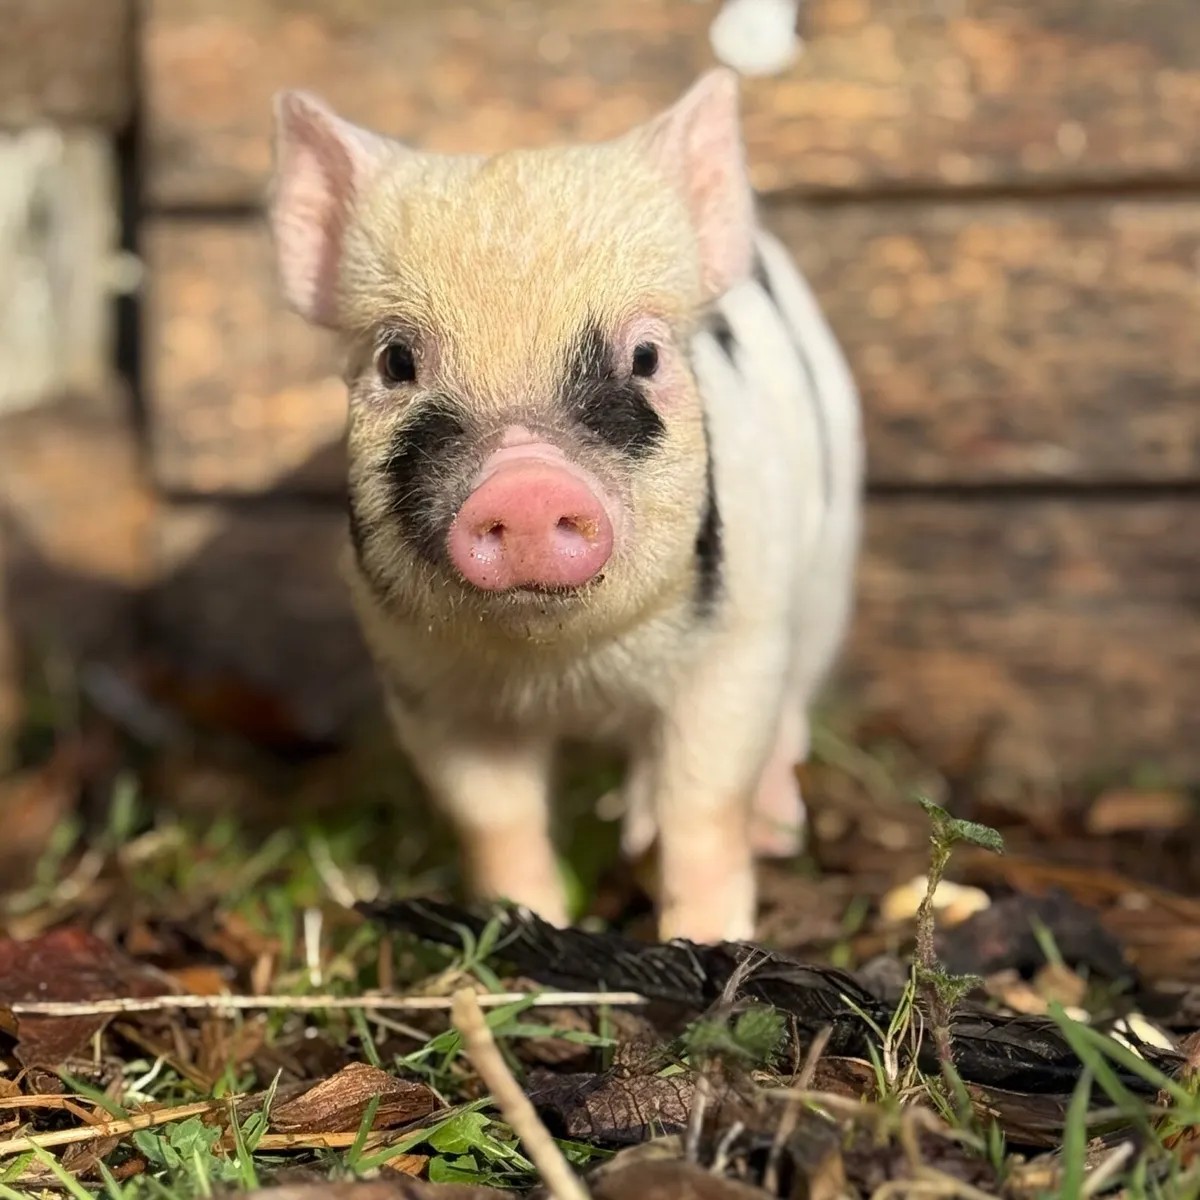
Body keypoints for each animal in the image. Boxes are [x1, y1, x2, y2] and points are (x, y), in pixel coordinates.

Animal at [266, 68, 863, 944]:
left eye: (646, 355)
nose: (525, 483)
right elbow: (493, 815)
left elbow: (704, 804)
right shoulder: (422, 680)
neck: (563, 668)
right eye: (396, 361)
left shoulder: (738, 645)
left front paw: (705, 939)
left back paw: (767, 829)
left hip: (826, 571)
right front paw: (523, 927)